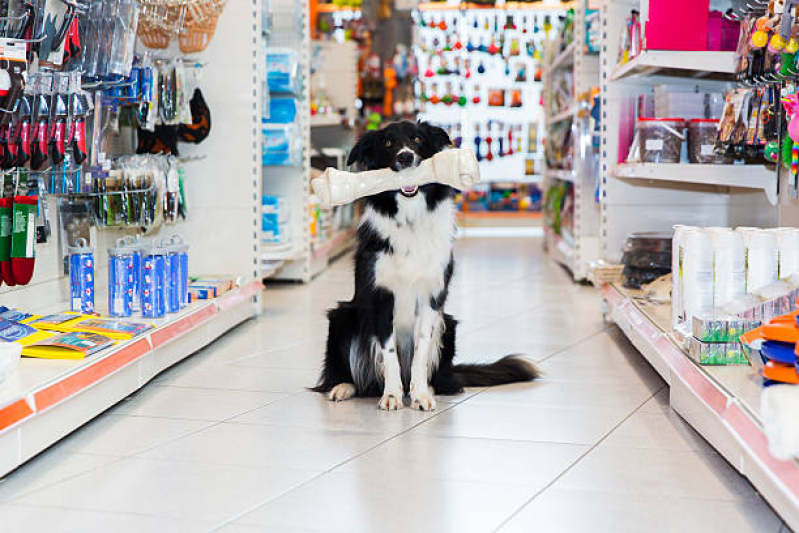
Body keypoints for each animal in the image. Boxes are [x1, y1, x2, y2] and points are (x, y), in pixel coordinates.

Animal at [312, 121, 536, 412]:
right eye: (388, 143)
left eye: (417, 139)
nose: (406, 157)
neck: (409, 218)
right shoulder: (381, 297)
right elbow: (389, 354)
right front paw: (392, 395)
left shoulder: (431, 298)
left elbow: (421, 350)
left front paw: (419, 394)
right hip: (343, 316)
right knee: (353, 375)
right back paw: (343, 387)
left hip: (448, 325)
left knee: (443, 379)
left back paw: (427, 386)